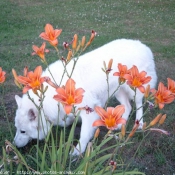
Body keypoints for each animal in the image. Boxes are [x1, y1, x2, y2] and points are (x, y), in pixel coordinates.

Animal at [13, 38, 157, 154]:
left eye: (23, 131)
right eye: (17, 129)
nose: (14, 145)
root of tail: (143, 46)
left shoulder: (89, 111)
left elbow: (84, 134)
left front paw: (77, 152)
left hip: (134, 90)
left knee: (138, 105)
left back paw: (139, 124)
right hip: (118, 90)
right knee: (127, 106)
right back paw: (118, 126)